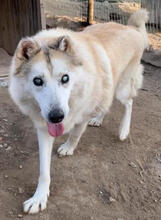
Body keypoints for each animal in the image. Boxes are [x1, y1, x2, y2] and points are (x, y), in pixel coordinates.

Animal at [8, 9, 148, 214]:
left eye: (65, 78)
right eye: (37, 81)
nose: (57, 116)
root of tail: (130, 27)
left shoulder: (82, 115)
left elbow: (75, 134)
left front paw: (68, 147)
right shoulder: (44, 129)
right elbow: (43, 170)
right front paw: (39, 197)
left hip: (123, 88)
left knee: (128, 103)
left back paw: (123, 130)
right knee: (107, 102)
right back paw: (98, 119)